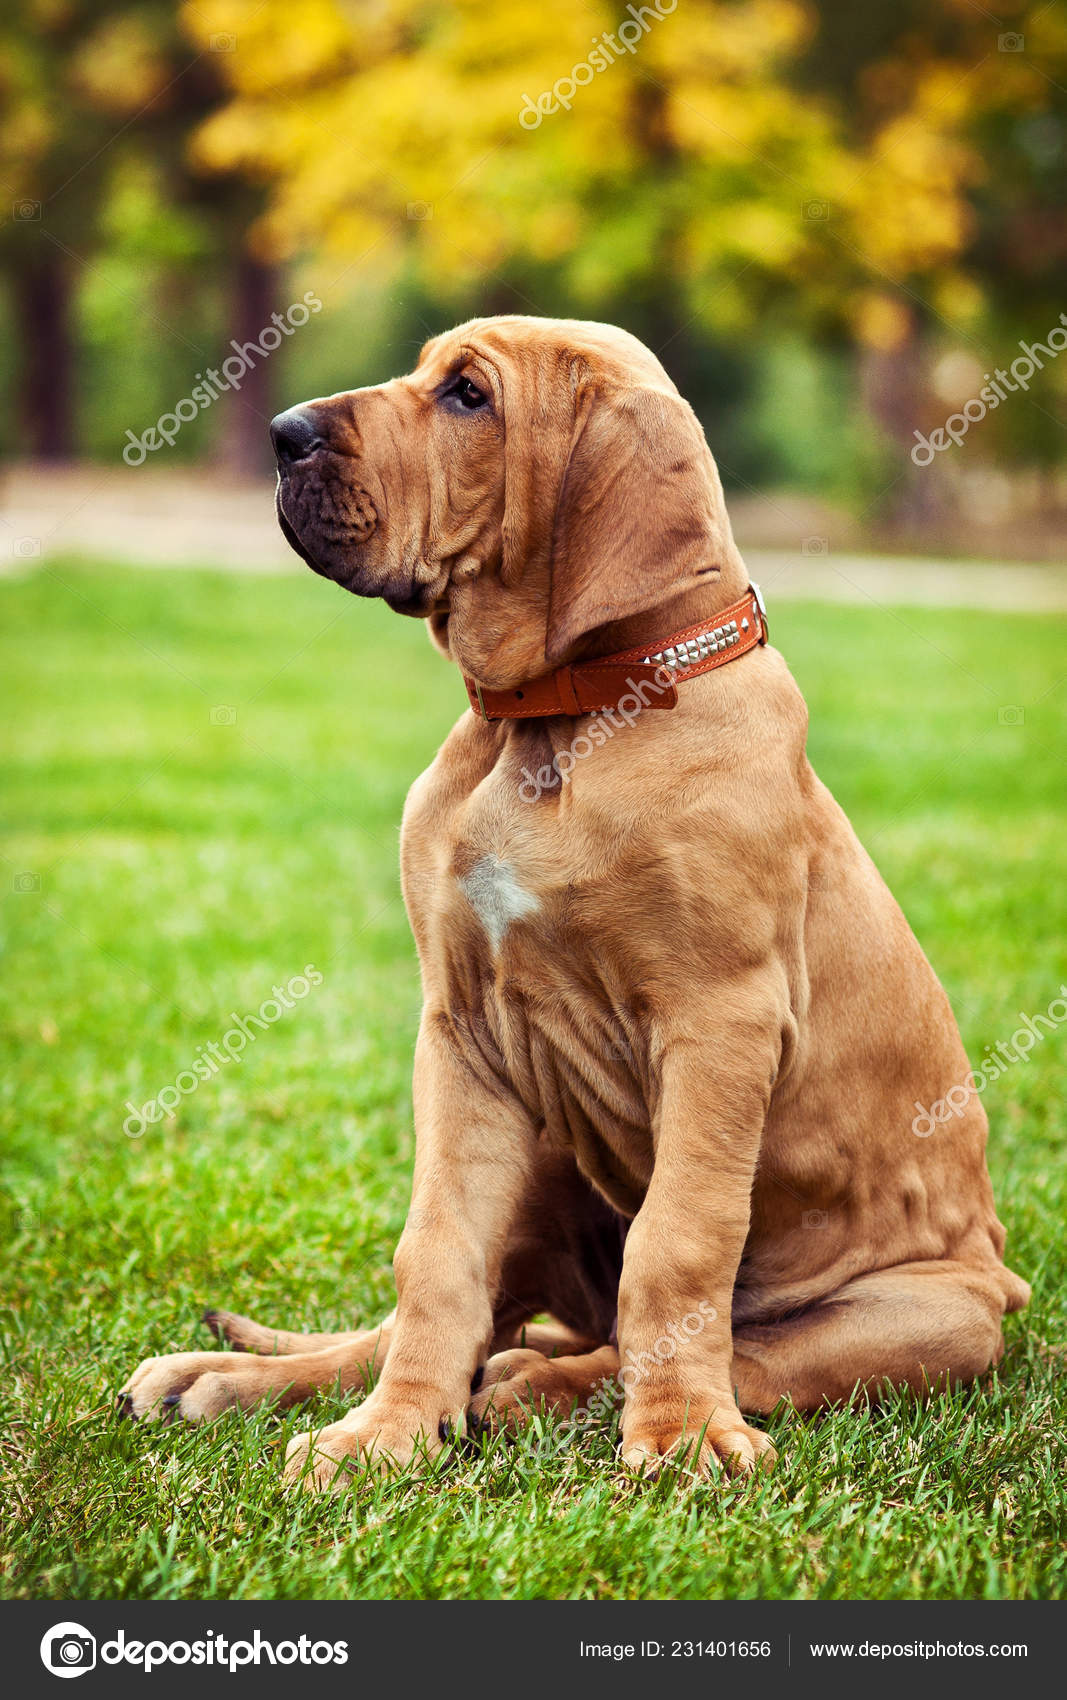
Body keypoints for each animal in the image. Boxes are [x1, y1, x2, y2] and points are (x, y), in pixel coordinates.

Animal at [120, 319, 1026, 1489]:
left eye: (468, 396)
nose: (283, 434)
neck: (562, 718)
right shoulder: (462, 1035)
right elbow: (435, 1259)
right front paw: (385, 1434)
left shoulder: (719, 1028)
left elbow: (677, 1247)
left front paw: (682, 1434)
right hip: (549, 1149)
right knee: (480, 1321)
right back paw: (231, 1378)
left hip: (930, 1315)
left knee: (699, 1347)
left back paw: (542, 1392)